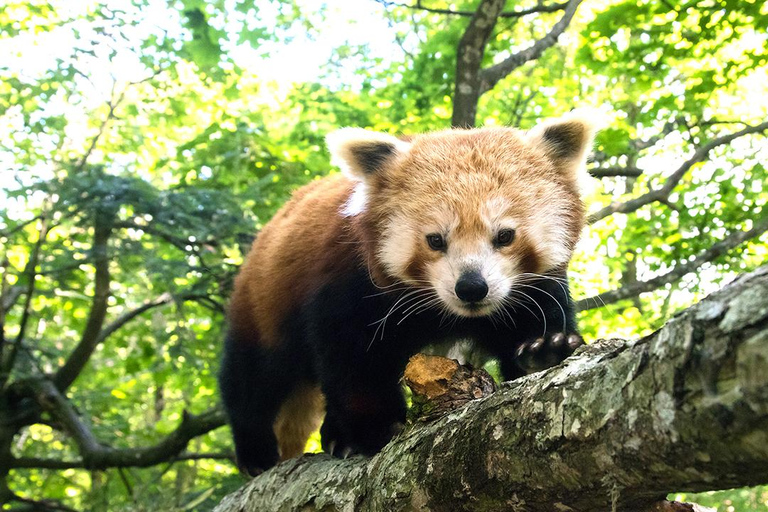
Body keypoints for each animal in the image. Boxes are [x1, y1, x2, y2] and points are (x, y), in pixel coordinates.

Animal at [219, 112, 596, 476]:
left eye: (504, 236)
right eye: (435, 240)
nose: (471, 287)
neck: (448, 313)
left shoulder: (532, 292)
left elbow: (536, 325)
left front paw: (545, 352)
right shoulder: (349, 283)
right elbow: (354, 362)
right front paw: (375, 429)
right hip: (264, 301)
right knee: (254, 375)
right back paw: (256, 450)